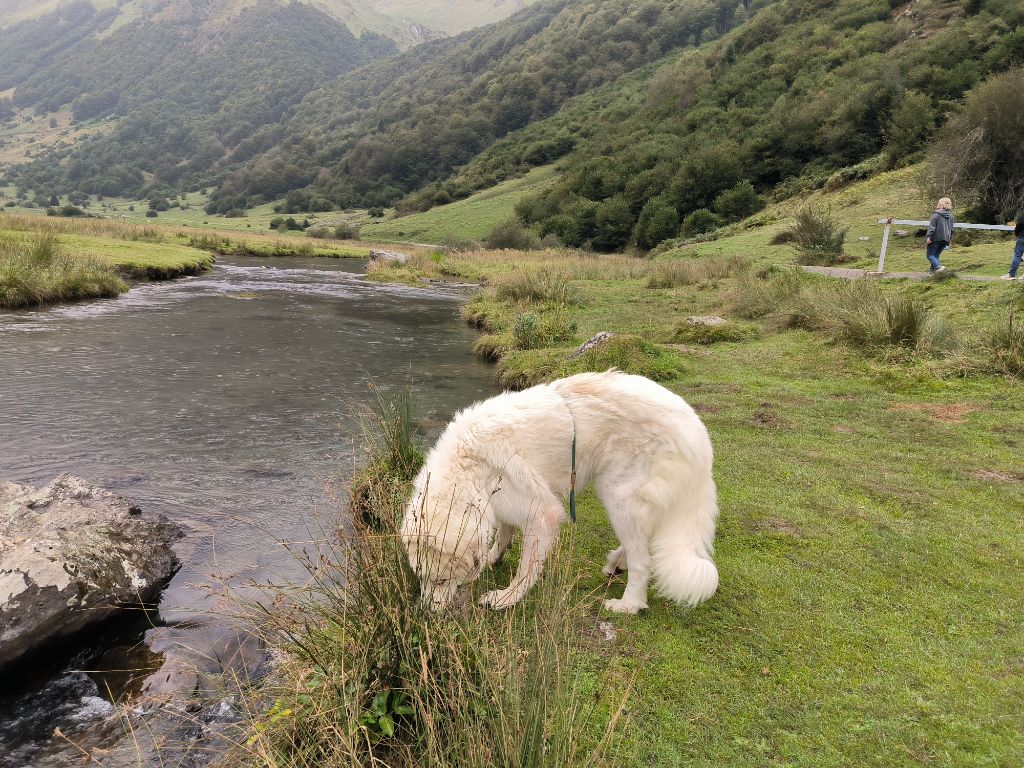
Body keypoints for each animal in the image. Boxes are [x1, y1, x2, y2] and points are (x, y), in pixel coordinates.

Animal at [399, 370, 720, 618]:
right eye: (422, 579)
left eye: (442, 580)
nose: (428, 611)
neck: (466, 467)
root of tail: (699, 434)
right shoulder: (499, 504)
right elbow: (502, 534)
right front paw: (492, 558)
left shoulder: (542, 513)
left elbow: (526, 568)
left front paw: (506, 598)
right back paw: (619, 561)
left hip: (618, 496)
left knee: (644, 561)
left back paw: (628, 604)